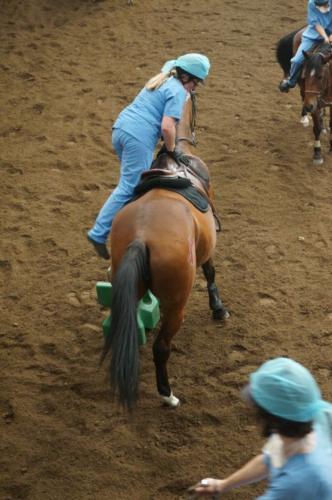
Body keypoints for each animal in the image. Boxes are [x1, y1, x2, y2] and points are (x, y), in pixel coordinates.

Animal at [102, 92, 230, 408]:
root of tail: (141, 237)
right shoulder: (207, 246)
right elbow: (210, 271)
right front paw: (218, 308)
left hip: (129, 288)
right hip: (176, 305)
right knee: (161, 348)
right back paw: (168, 395)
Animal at [276, 29, 332, 165]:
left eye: (320, 76)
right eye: (304, 75)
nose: (309, 106)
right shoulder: (314, 103)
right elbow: (316, 128)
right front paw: (317, 154)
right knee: (303, 96)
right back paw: (304, 117)